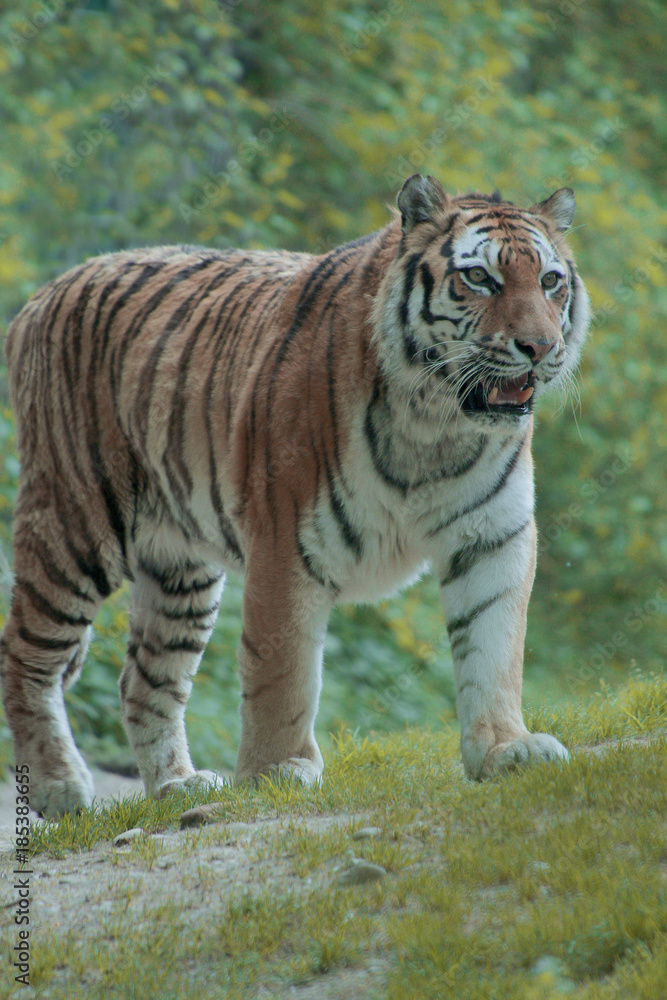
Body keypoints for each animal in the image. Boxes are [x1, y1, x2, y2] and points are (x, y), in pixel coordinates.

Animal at [0, 174, 590, 820]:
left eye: (550, 281)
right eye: (480, 277)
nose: (540, 346)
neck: (434, 424)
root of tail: (40, 297)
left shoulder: (493, 536)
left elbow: (494, 646)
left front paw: (507, 749)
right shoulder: (286, 541)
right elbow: (282, 670)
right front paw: (276, 770)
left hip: (181, 570)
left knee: (144, 681)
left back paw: (179, 784)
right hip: (75, 525)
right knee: (25, 655)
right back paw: (58, 787)